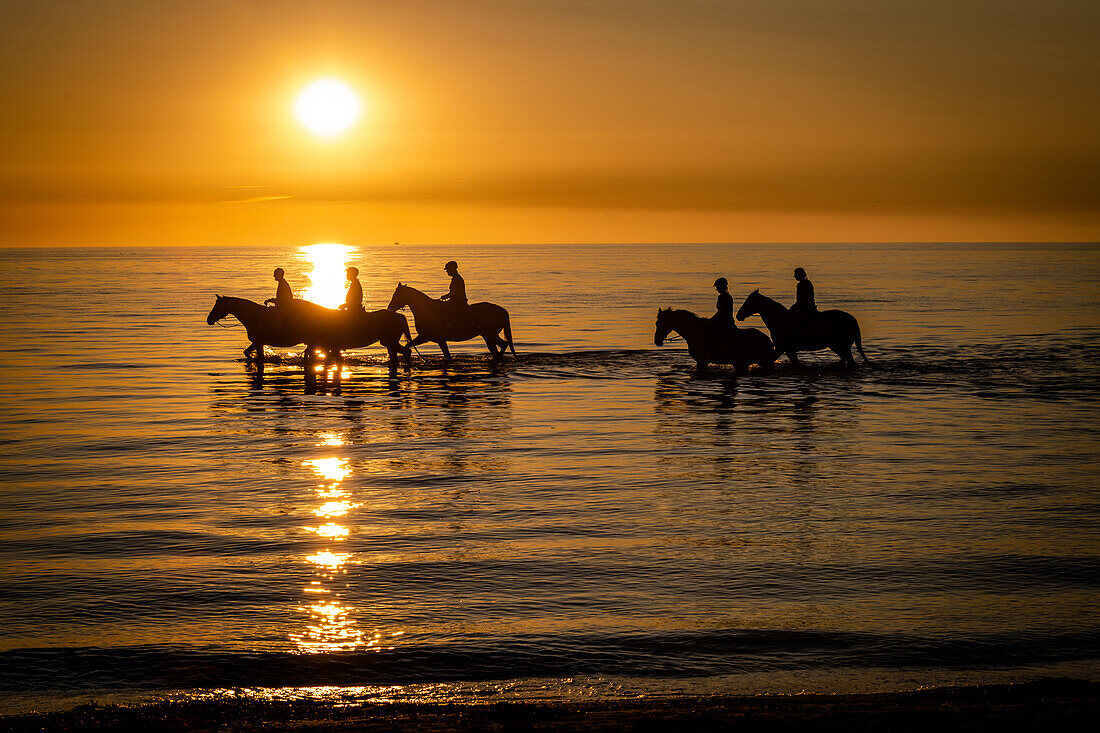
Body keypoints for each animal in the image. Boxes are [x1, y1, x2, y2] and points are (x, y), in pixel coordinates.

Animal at [206, 294, 413, 365]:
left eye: (217, 305)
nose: (208, 320)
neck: (254, 316)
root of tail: (399, 316)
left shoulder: (258, 341)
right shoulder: (258, 343)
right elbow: (249, 353)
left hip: (388, 341)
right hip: (388, 342)